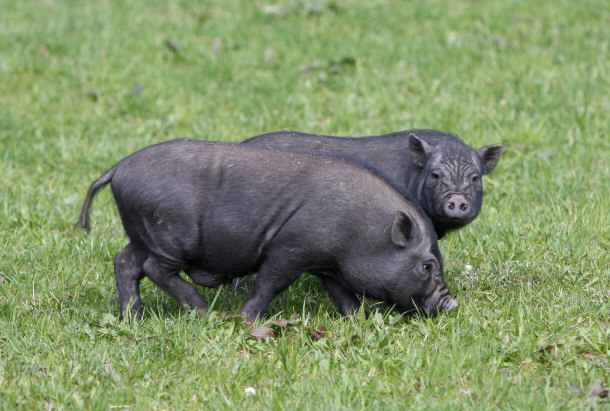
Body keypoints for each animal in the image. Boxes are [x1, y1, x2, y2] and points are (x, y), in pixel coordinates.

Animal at [76, 140, 456, 320]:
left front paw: (356, 319)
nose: (452, 304)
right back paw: (201, 310)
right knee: (154, 268)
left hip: (142, 232)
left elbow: (342, 294)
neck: (362, 230)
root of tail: (117, 169)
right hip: (169, 234)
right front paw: (247, 317)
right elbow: (271, 283)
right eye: (426, 266)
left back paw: (132, 318)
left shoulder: (327, 263)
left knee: (125, 262)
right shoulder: (289, 250)